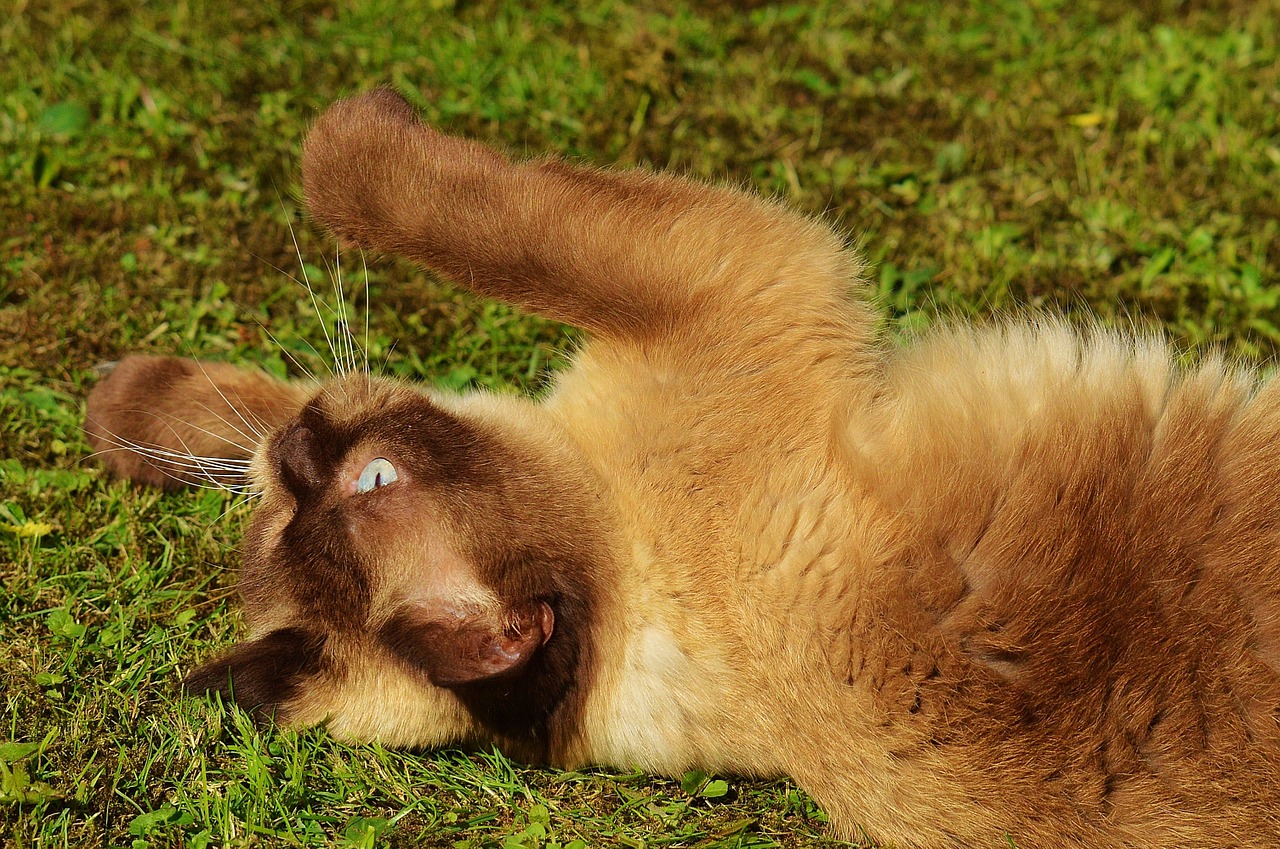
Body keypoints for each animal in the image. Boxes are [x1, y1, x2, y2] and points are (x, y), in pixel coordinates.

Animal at [85, 89, 1280, 845]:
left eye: (367, 482)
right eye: (333, 485)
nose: (298, 452)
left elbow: (356, 206)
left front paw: (120, 404)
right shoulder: (737, 266)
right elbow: (371, 182)